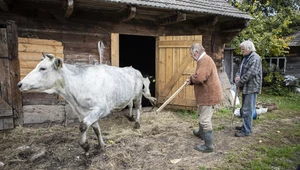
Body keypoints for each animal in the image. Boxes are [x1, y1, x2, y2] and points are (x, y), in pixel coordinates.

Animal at [17, 53, 157, 153]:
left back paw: (137, 123)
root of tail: (134, 69)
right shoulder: (83, 112)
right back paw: (130, 117)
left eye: (42, 68)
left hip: (138, 94)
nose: (19, 84)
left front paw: (85, 145)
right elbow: (96, 129)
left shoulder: (101, 108)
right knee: (130, 104)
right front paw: (101, 145)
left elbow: (83, 126)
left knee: (138, 107)